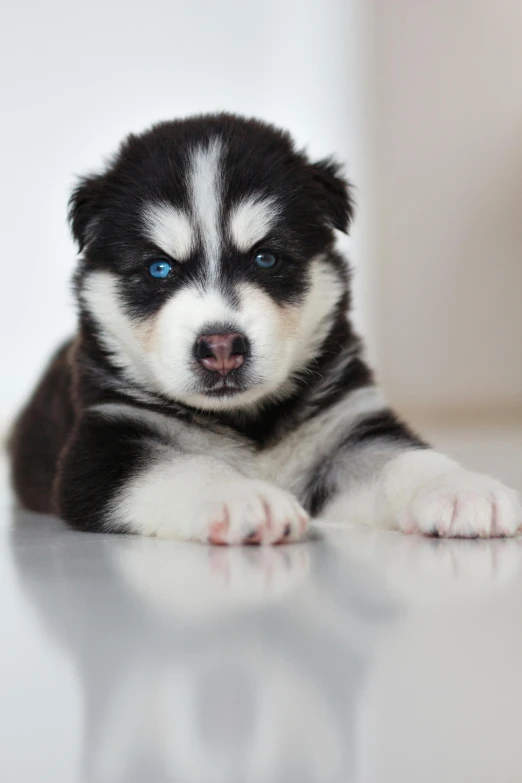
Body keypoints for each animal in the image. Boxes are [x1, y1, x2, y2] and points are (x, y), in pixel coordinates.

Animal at [9, 113, 520, 544]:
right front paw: (242, 498)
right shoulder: (105, 448)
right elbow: (184, 468)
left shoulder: (347, 427)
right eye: (159, 269)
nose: (221, 346)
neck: (249, 421)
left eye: (266, 258)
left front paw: (462, 488)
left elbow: (400, 457)